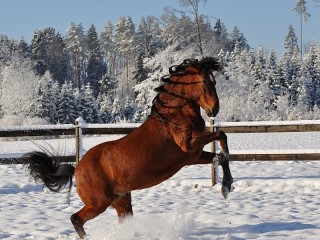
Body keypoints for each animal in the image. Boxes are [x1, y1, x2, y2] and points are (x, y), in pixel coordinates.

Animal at [22, 57, 232, 239]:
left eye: (214, 81)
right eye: (205, 82)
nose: (214, 109)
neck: (173, 115)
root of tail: (77, 169)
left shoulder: (193, 156)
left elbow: (220, 156)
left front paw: (226, 186)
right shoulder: (188, 144)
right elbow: (221, 135)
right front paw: (226, 184)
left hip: (121, 201)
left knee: (122, 221)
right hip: (99, 202)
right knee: (76, 219)